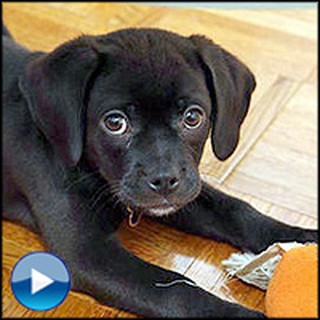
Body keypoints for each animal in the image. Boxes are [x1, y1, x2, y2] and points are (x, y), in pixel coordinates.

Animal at [3, 25, 318, 318]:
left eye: (193, 117)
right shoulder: (88, 253)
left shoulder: (185, 189)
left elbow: (237, 210)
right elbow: (175, 290)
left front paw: (305, 239)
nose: (165, 180)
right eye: (114, 122)